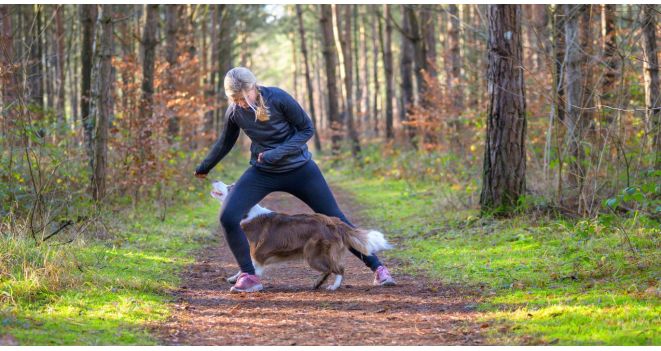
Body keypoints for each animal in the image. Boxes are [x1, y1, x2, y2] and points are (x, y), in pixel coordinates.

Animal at [209, 182, 390, 292]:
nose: (214, 180)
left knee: (338, 269)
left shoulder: (258, 254)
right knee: (331, 269)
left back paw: (333, 286)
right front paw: (236, 278)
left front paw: (249, 282)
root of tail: (333, 221)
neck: (248, 212)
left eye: (230, 188)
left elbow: (254, 267)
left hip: (313, 254)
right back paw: (318, 283)